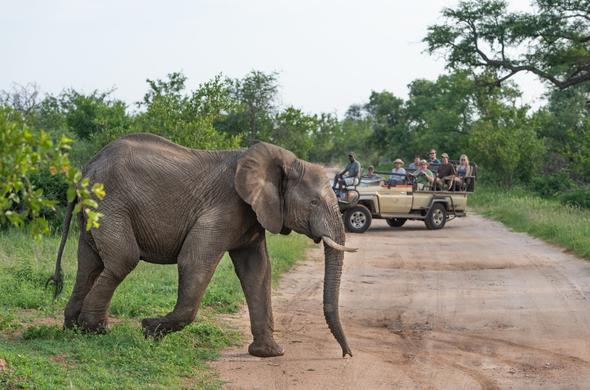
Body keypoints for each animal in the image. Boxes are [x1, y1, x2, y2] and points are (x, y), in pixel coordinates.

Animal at [47, 133, 356, 358]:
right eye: (314, 202)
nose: (346, 355)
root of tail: (85, 168)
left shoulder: (251, 216)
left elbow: (257, 272)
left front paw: (268, 354)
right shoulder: (226, 206)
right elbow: (195, 261)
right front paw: (149, 330)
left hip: (95, 209)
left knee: (89, 263)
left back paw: (73, 327)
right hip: (109, 203)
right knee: (123, 259)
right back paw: (95, 330)